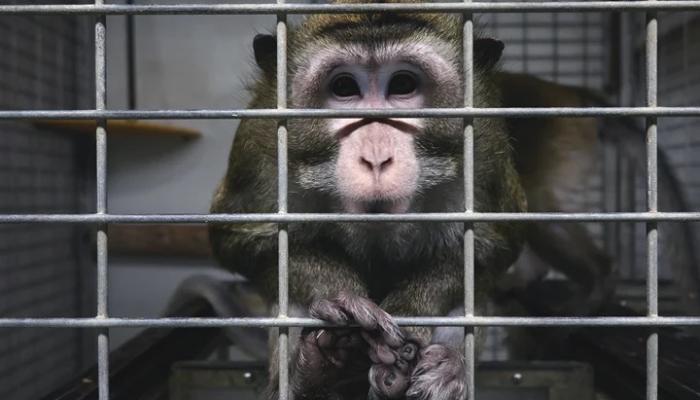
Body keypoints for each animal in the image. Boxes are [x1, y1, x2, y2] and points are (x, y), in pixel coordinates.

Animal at [209, 0, 527, 398]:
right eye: (344, 88)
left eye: (403, 85)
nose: (376, 157)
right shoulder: (259, 146)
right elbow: (239, 241)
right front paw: (341, 299)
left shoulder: (486, 150)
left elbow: (493, 249)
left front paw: (412, 313)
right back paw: (313, 372)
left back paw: (441, 372)